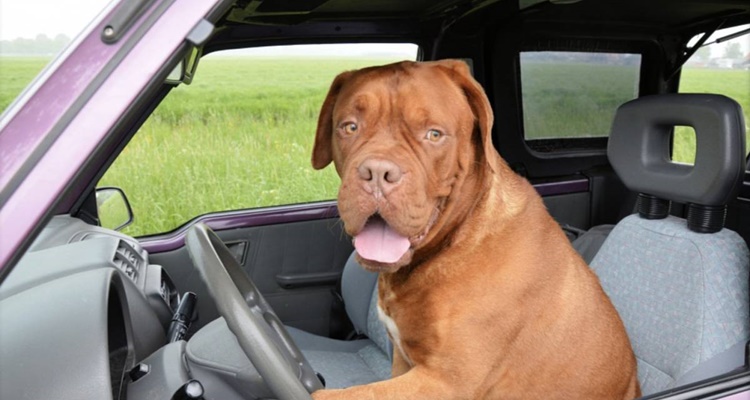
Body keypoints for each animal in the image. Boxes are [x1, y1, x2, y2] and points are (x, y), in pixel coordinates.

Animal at [312, 60, 640, 400]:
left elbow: (329, 395)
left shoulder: (445, 380)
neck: (457, 235)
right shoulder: (403, 360)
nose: (377, 172)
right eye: (349, 127)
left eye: (434, 134)